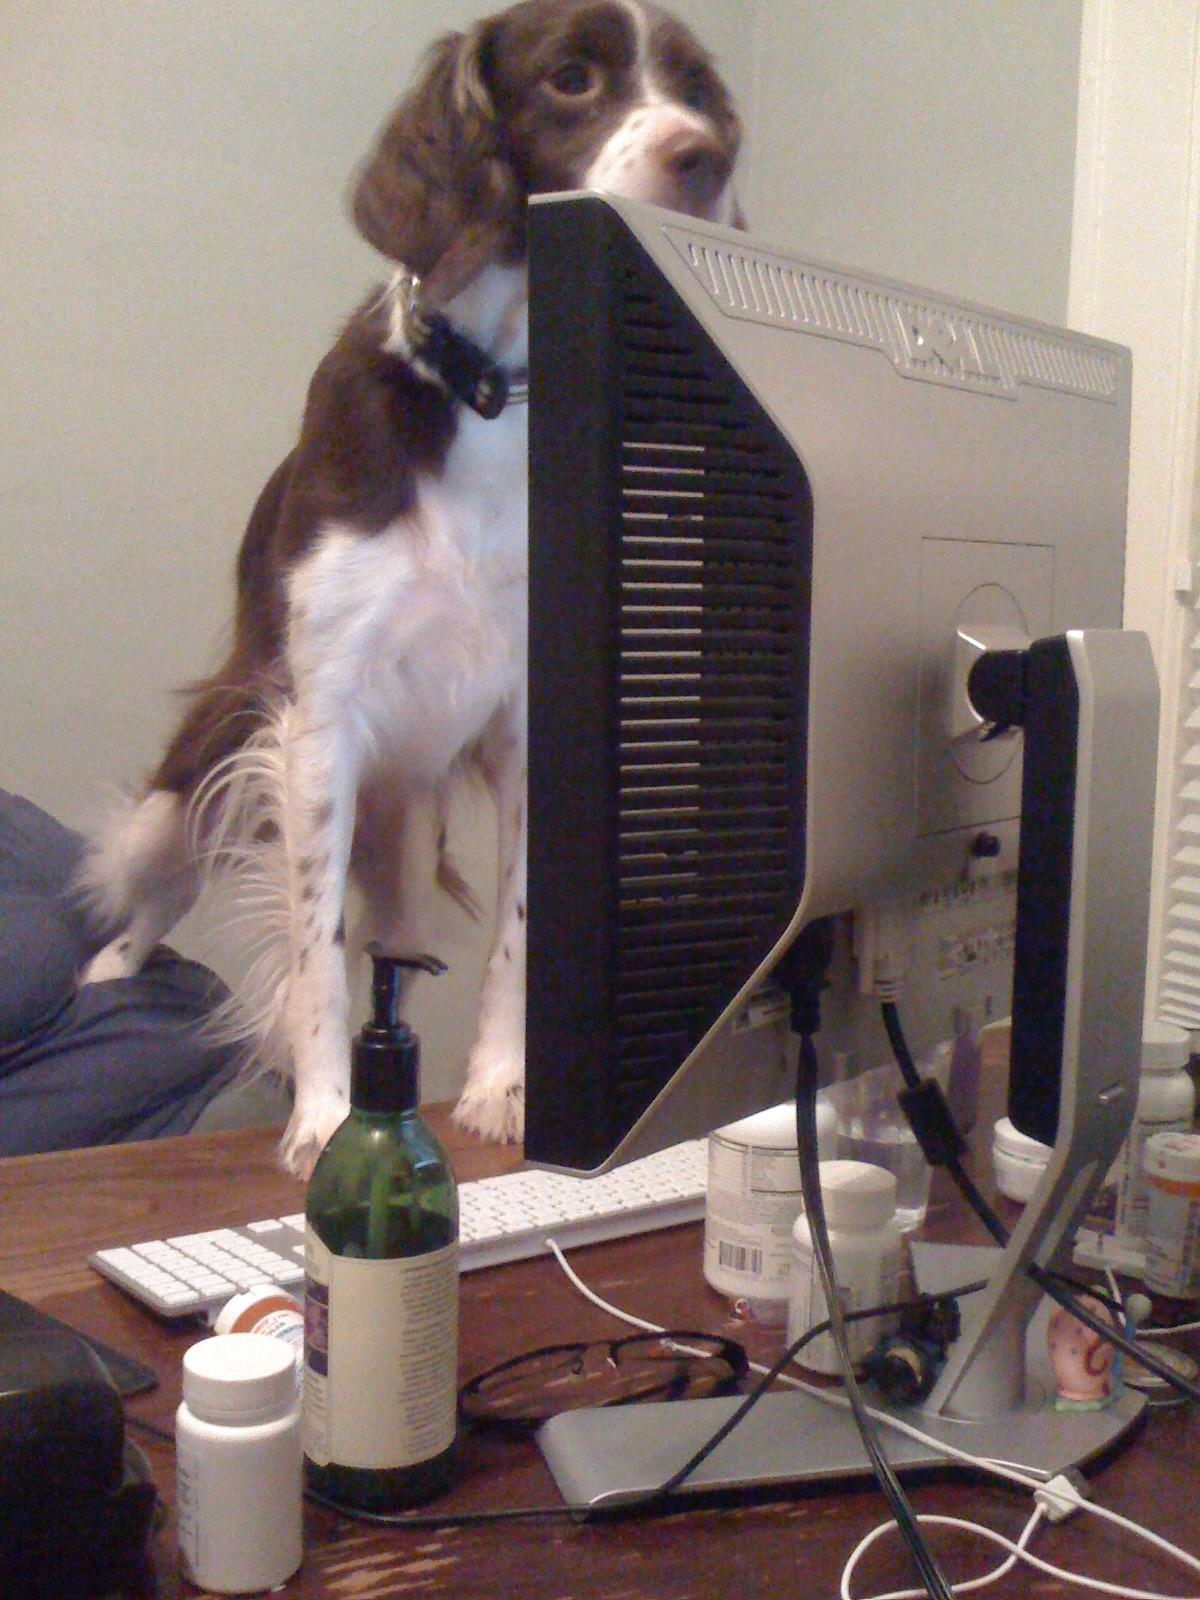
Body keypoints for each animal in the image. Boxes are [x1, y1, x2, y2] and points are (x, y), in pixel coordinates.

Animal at [79, 0, 743, 1177]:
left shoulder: (531, 727)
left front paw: (500, 1087)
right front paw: (323, 1115)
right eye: (571, 78)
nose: (704, 159)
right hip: (199, 772)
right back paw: (109, 969)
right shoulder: (317, 724)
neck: (492, 400)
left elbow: (518, 936)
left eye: (698, 88)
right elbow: (313, 950)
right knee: (159, 879)